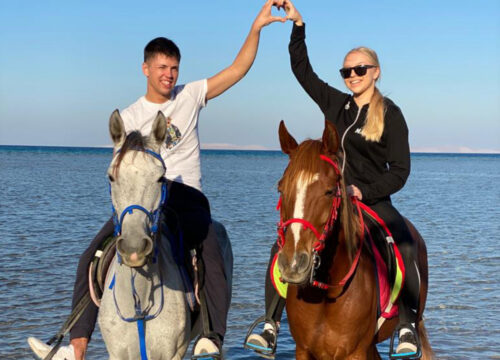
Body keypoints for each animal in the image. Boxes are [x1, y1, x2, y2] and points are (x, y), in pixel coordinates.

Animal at [276, 121, 432, 360]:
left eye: (330, 191)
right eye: (281, 189)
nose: (293, 264)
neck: (327, 294)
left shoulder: (355, 352)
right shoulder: (302, 350)